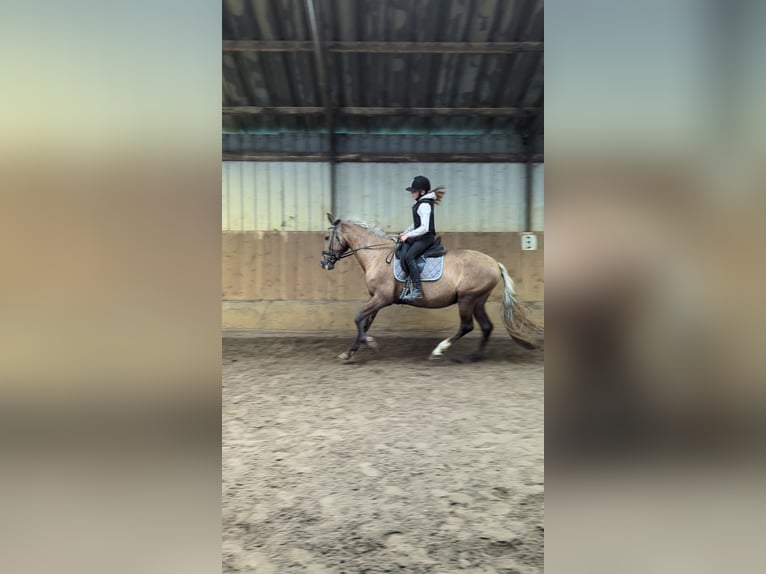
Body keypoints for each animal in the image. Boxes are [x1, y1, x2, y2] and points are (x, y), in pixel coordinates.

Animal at [320, 214, 544, 362]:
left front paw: (369, 344)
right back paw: (475, 356)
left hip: (467, 299)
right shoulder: (375, 298)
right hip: (478, 300)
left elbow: (358, 318)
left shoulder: (382, 298)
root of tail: (494, 263)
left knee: (467, 326)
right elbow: (364, 323)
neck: (377, 255)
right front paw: (351, 350)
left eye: (326, 237)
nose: (324, 263)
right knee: (486, 327)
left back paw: (439, 350)